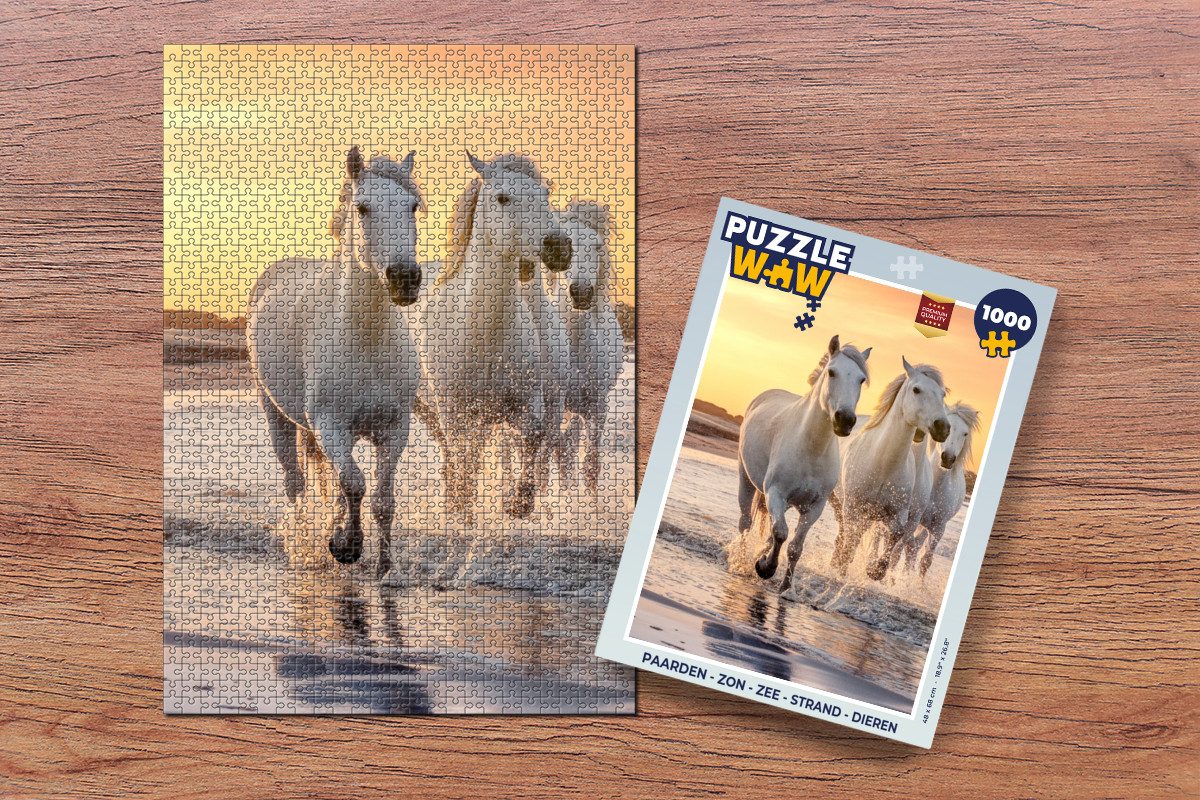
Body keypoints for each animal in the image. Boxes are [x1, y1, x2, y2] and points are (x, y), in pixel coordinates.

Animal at [246, 146, 424, 580]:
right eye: (363, 207)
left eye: (413, 206)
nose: (405, 278)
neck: (368, 341)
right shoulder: (330, 426)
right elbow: (355, 484)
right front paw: (346, 546)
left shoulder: (395, 429)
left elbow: (381, 499)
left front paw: (384, 567)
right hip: (276, 415)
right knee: (296, 484)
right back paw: (304, 545)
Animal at [418, 151, 573, 521]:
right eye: (503, 197)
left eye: (545, 195)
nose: (560, 247)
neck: (484, 336)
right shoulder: (454, 411)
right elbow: (462, 454)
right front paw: (463, 508)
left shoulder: (528, 402)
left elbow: (532, 436)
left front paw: (520, 501)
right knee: (454, 451)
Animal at [736, 335, 872, 594]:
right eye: (831, 372)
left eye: (861, 379)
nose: (845, 420)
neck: (811, 449)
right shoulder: (775, 493)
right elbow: (781, 533)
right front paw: (765, 568)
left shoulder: (814, 506)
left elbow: (795, 547)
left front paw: (785, 588)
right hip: (746, 480)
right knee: (745, 523)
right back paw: (739, 562)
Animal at [830, 358, 950, 582]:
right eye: (916, 389)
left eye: (942, 394)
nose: (943, 428)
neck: (883, 465)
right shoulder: (852, 507)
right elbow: (850, 543)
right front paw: (842, 568)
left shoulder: (898, 514)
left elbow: (895, 536)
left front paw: (875, 570)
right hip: (836, 500)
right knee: (845, 533)